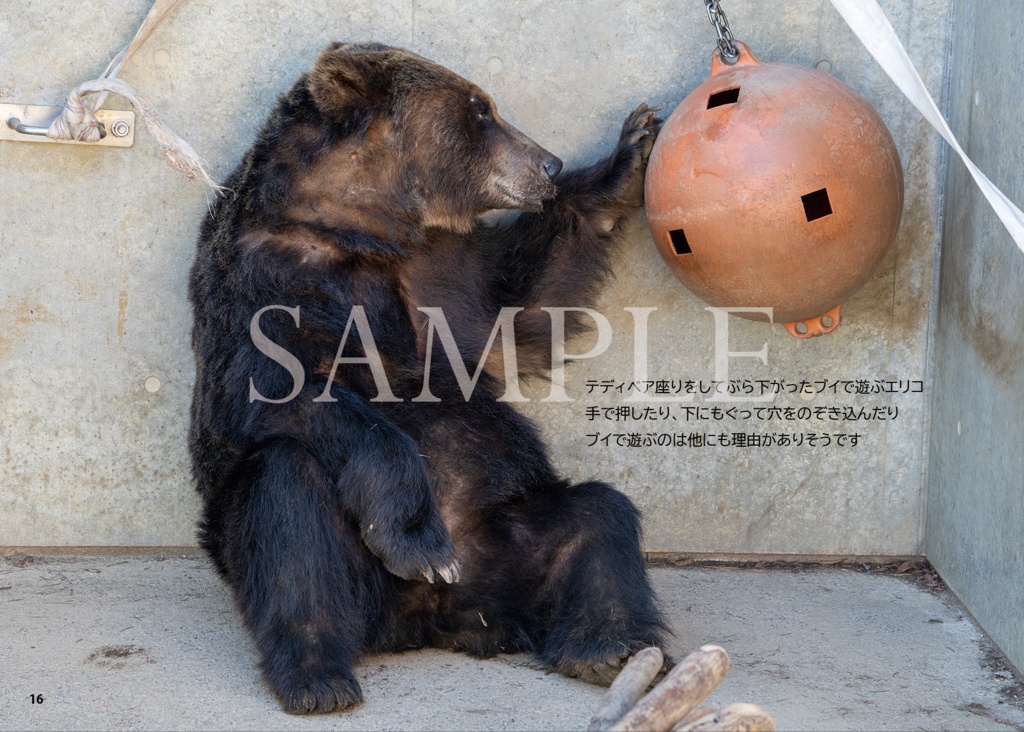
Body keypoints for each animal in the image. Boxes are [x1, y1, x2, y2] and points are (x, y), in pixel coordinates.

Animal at [187, 41, 667, 714]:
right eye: (481, 110)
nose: (548, 162)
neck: (361, 231)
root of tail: (437, 617)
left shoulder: (443, 270)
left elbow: (522, 308)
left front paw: (629, 153)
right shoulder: (260, 282)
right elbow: (275, 394)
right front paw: (419, 542)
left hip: (507, 534)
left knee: (599, 518)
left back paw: (607, 647)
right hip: (341, 565)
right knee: (288, 506)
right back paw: (318, 675)